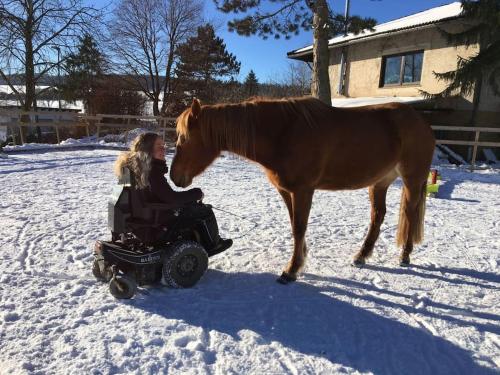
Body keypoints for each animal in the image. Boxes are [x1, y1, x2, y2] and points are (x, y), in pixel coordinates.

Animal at [170, 97, 436, 284]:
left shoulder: (303, 191)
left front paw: (291, 270)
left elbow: (299, 227)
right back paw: (361, 255)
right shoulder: (287, 191)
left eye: (183, 138)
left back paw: (405, 256)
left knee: (410, 213)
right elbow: (294, 226)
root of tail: (422, 122)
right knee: (378, 216)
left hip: (412, 180)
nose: (174, 177)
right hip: (380, 182)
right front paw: (300, 259)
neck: (282, 133)